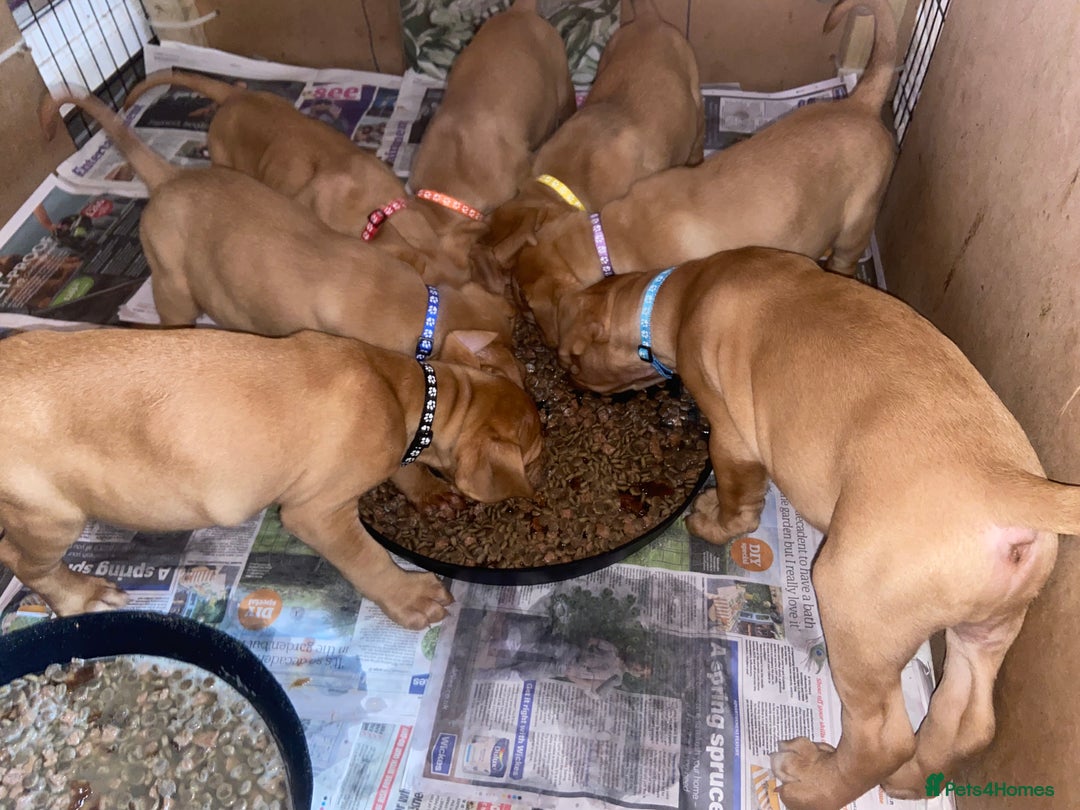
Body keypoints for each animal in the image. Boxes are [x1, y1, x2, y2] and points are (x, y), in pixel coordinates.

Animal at [0, 327, 543, 629]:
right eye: (536, 456)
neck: (412, 391)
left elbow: (405, 467)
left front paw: (428, 493)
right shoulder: (316, 514)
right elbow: (367, 558)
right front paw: (410, 597)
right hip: (51, 517)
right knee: (23, 561)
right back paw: (82, 596)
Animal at [557, 246, 1080, 809]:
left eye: (569, 358)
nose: (572, 388)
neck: (678, 293)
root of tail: (1010, 485)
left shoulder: (731, 436)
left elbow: (739, 500)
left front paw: (713, 522)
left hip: (852, 602)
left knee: (882, 737)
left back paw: (811, 783)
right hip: (985, 631)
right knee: (969, 721)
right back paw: (910, 781)